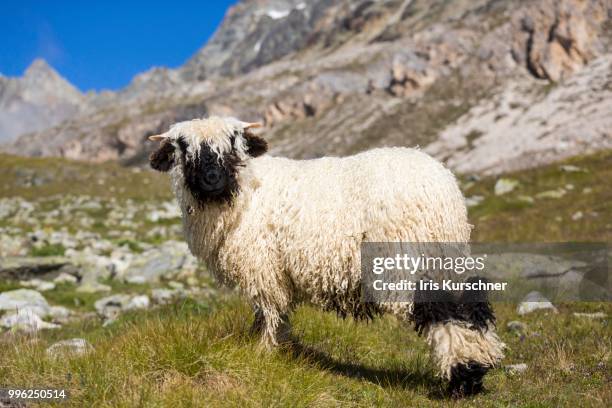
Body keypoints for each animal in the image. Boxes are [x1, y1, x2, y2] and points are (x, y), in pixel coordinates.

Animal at [148, 115, 502, 396]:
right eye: (183, 147)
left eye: (234, 142)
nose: (212, 179)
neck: (244, 191)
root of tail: (442, 183)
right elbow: (278, 315)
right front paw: (279, 349)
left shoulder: (263, 269)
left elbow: (267, 314)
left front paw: (262, 351)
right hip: (444, 255)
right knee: (472, 304)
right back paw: (477, 372)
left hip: (408, 257)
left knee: (445, 310)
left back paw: (463, 379)